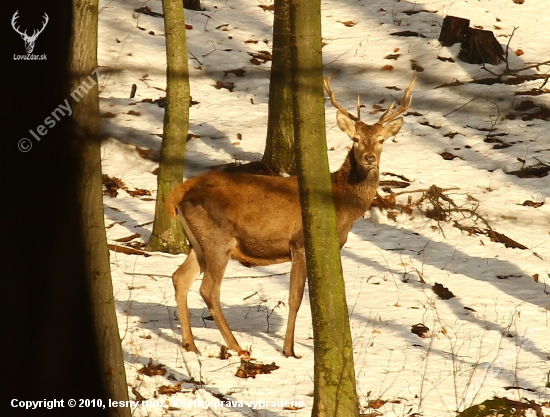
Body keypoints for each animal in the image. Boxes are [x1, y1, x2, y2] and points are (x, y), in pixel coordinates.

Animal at [168, 73, 418, 356]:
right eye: (355, 139)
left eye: (381, 140)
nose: (368, 158)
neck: (342, 205)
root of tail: (178, 194)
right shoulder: (300, 242)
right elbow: (295, 297)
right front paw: (289, 350)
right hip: (217, 238)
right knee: (208, 289)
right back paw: (236, 347)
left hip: (197, 242)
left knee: (180, 278)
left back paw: (191, 344)